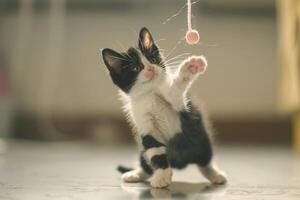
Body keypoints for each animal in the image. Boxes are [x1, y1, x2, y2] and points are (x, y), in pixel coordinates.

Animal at [101, 27, 225, 188]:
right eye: (136, 68)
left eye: (153, 60)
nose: (151, 68)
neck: (151, 93)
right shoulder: (146, 127)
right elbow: (156, 153)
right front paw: (162, 176)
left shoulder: (181, 106)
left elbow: (176, 92)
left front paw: (190, 68)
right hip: (142, 150)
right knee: (146, 163)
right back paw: (136, 174)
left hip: (201, 142)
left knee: (205, 162)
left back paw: (215, 174)